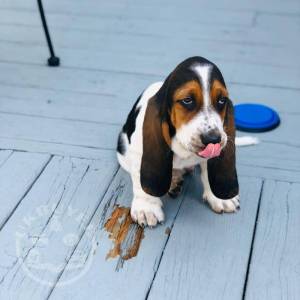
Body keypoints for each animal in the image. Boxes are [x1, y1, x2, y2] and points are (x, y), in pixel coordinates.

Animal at [117, 56, 251, 226]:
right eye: (187, 100)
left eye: (222, 100)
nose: (213, 139)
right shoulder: (138, 152)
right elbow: (140, 180)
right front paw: (146, 208)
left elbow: (207, 171)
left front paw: (218, 198)